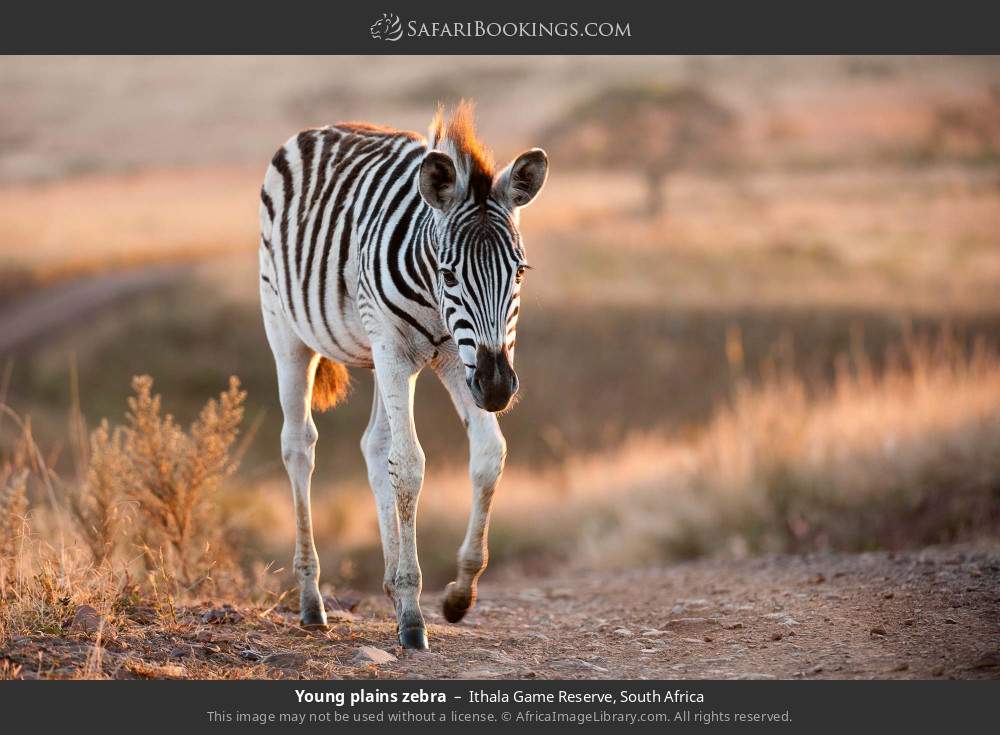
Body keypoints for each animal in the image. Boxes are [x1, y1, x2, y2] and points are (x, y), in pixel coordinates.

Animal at [258, 101, 548, 650]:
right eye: (449, 274)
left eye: (519, 272)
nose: (499, 389)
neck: (436, 301)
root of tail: (324, 126)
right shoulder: (402, 349)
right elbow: (410, 465)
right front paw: (414, 617)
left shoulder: (457, 360)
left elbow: (488, 455)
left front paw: (458, 593)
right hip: (287, 328)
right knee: (298, 446)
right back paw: (312, 601)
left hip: (380, 355)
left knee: (374, 445)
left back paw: (390, 586)